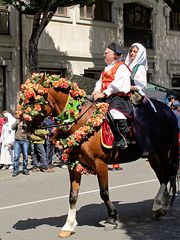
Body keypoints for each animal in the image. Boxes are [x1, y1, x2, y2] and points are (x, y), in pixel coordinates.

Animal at [16, 73, 179, 238]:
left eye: (35, 100)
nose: (21, 128)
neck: (81, 121)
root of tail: (168, 111)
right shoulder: (74, 165)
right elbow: (72, 195)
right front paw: (68, 226)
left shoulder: (100, 163)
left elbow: (104, 192)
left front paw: (112, 218)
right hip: (152, 155)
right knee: (162, 177)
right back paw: (161, 205)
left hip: (162, 151)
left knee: (166, 176)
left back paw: (158, 206)